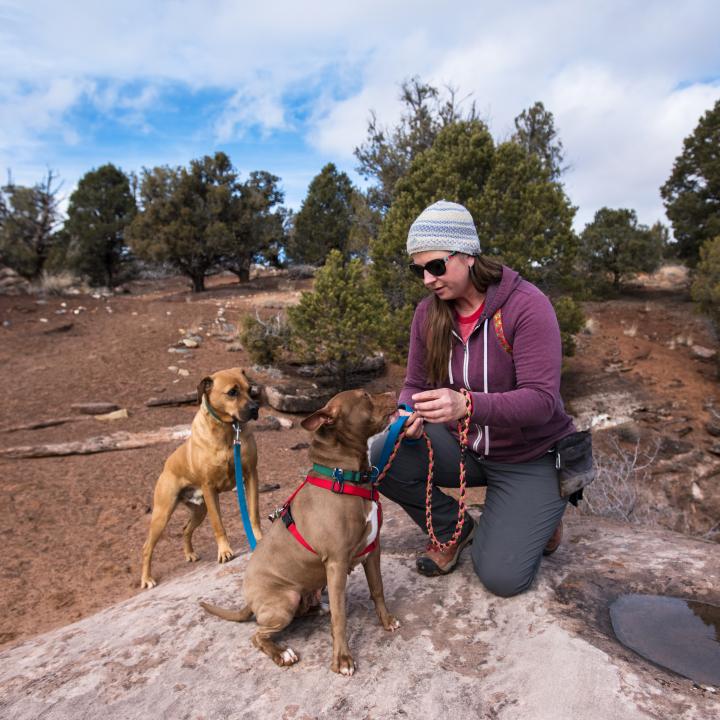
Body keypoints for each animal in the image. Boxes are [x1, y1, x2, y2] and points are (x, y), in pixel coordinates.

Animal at [141, 368, 262, 588]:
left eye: (250, 389)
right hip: (163, 514)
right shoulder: (209, 487)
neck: (226, 430)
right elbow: (218, 524)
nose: (255, 408)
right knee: (147, 547)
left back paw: (189, 554)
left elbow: (253, 514)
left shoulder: (251, 475)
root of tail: (166, 465)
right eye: (232, 392)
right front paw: (224, 551)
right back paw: (146, 579)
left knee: (185, 529)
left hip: (199, 510)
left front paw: (259, 538)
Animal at [202, 388, 402, 676]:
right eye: (365, 395)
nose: (393, 392)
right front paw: (342, 659)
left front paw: (386, 621)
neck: (343, 476)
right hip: (286, 597)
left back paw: (318, 608)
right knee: (258, 635)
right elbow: (340, 617)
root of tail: (250, 603)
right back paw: (282, 653)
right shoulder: (336, 563)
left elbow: (378, 590)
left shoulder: (372, 550)